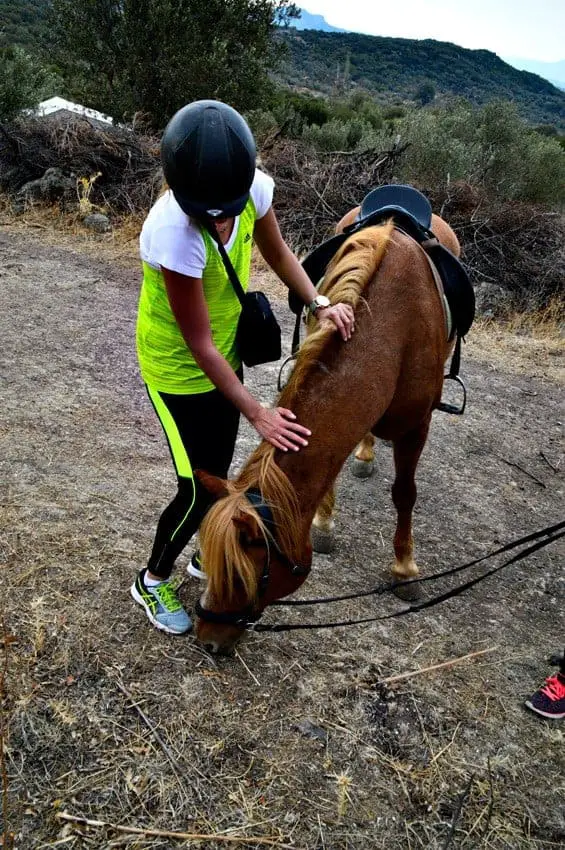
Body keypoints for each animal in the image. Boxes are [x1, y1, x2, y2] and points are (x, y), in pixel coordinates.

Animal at [194, 210, 458, 648]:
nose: (207, 639)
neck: (398, 324)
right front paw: (323, 525)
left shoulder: (417, 426)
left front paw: (404, 567)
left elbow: (405, 493)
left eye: (243, 574)